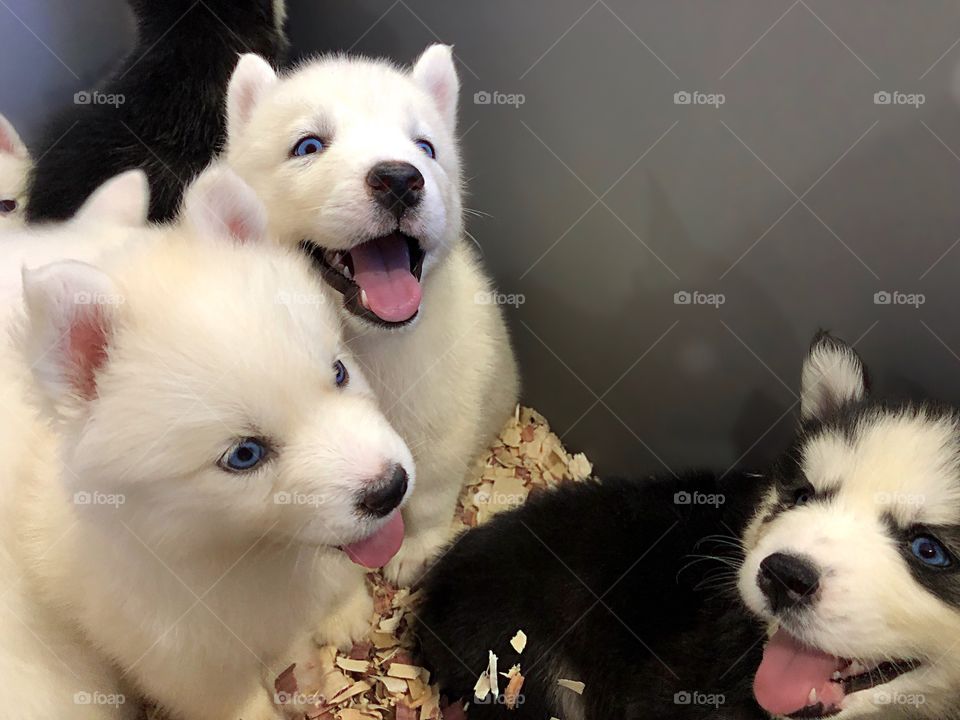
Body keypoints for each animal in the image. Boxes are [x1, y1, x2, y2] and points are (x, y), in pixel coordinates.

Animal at [3, 166, 416, 716]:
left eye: (339, 371)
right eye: (244, 455)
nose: (391, 488)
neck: (243, 554)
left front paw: (341, 610)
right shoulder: (178, 653)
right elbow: (234, 698)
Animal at [221, 43, 520, 584]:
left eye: (425, 147)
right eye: (308, 146)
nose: (400, 178)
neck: (367, 345)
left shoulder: (443, 414)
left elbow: (431, 488)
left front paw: (415, 550)